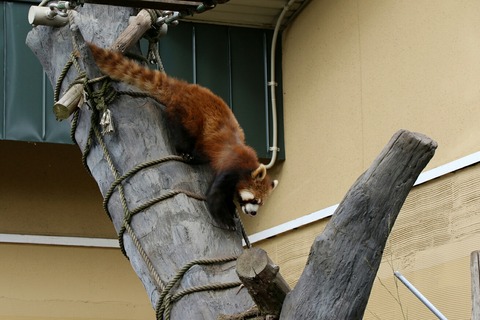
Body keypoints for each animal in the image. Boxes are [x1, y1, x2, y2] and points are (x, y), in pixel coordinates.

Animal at [88, 43, 280, 230]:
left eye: (260, 203)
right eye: (254, 199)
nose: (253, 213)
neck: (246, 166)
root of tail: (185, 87)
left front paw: (232, 208)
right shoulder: (229, 168)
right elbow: (214, 195)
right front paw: (225, 218)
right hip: (189, 115)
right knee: (181, 132)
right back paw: (185, 152)